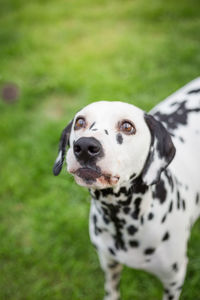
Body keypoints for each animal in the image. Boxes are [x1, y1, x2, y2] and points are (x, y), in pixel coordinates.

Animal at [52, 78, 199, 300]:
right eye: (80, 122)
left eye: (127, 126)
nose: (85, 146)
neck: (121, 217)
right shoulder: (109, 263)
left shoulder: (174, 279)